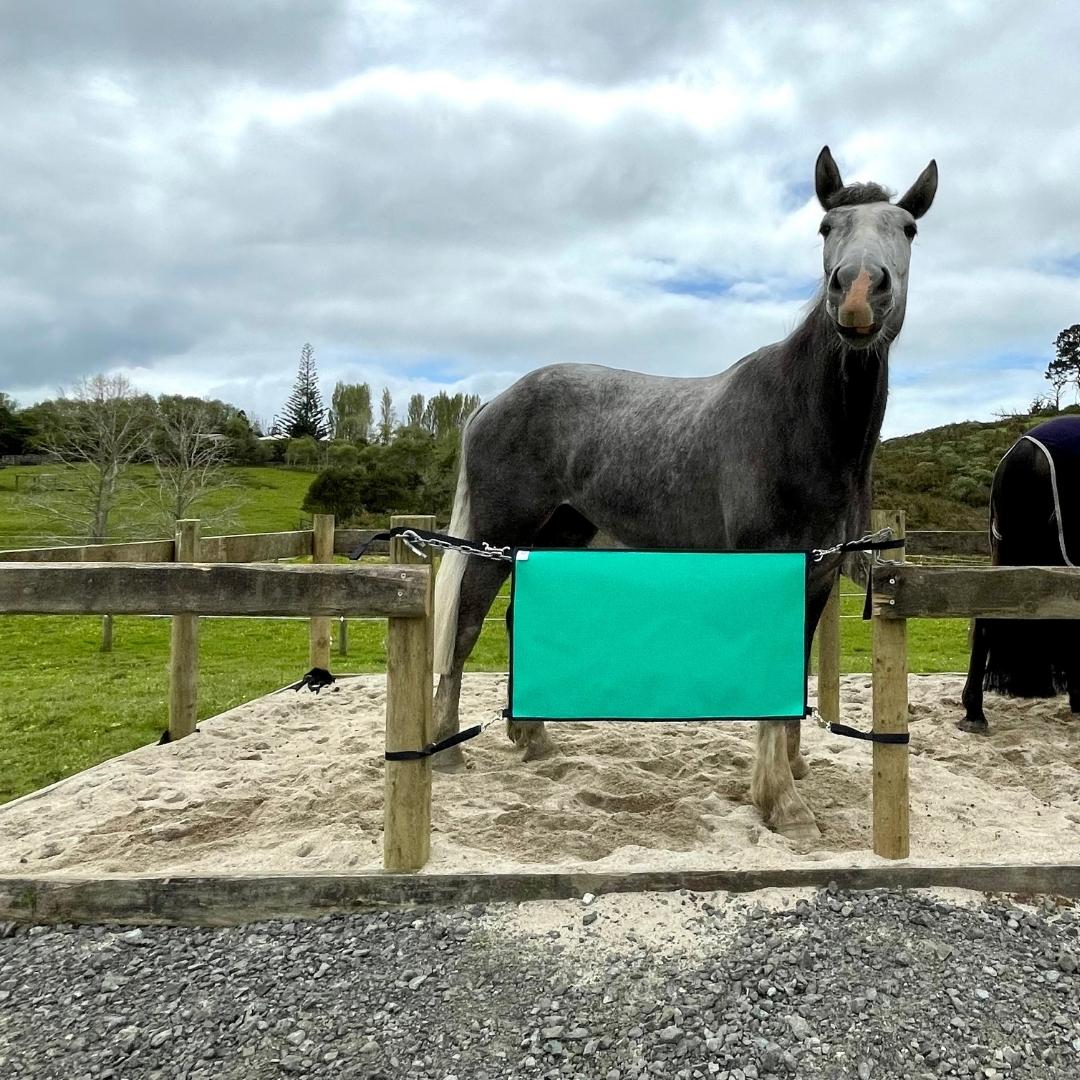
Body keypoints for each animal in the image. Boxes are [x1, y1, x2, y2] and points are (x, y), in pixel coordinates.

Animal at [429, 145, 937, 833]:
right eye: (826, 228)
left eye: (907, 229)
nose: (858, 292)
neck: (801, 420)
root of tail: (492, 402)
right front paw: (782, 803)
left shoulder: (822, 571)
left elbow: (797, 663)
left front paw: (793, 771)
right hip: (496, 536)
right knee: (464, 625)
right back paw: (447, 750)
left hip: (560, 535)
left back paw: (534, 739)